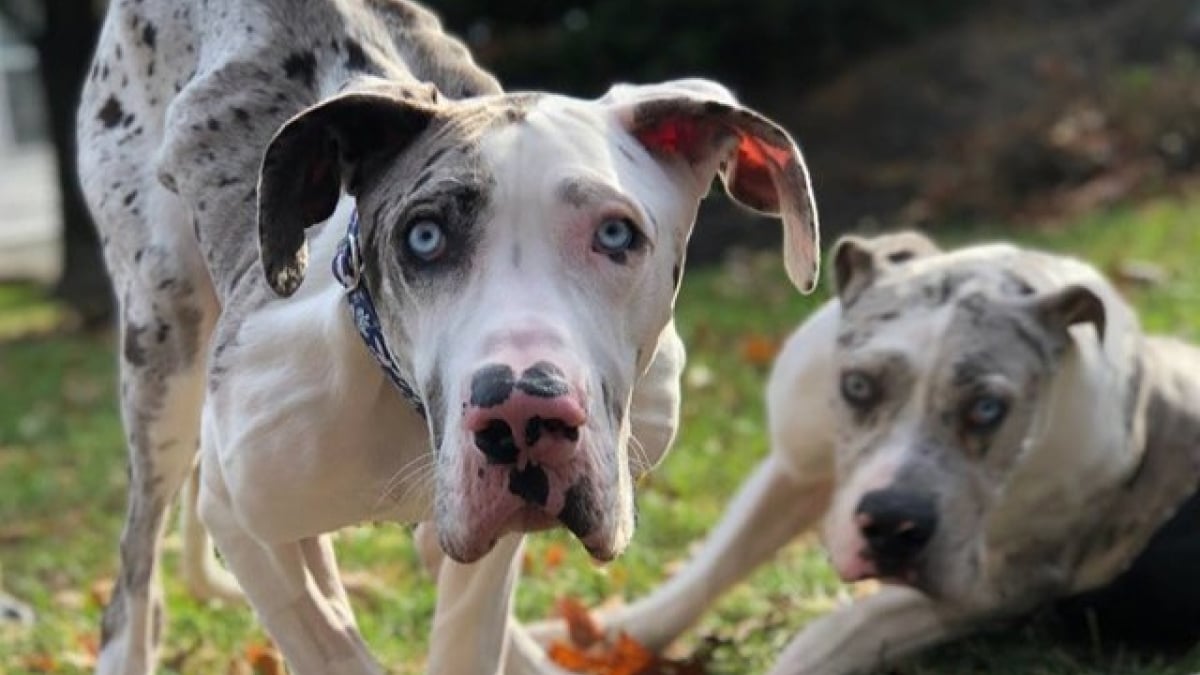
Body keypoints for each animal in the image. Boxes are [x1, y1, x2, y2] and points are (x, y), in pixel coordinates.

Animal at [75, 1, 820, 672]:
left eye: (615, 234)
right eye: (425, 237)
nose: (522, 412)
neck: (395, 399)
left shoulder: (486, 544)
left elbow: (466, 627)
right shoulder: (239, 509)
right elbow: (329, 644)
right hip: (164, 352)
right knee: (135, 579)